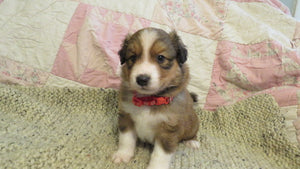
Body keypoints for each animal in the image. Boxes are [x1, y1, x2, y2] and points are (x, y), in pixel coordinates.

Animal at [111, 27, 198, 169]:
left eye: (161, 58)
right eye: (133, 57)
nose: (142, 79)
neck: (148, 100)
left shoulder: (168, 129)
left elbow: (160, 154)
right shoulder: (126, 116)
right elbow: (126, 139)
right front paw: (122, 155)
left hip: (193, 124)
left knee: (192, 133)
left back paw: (192, 142)